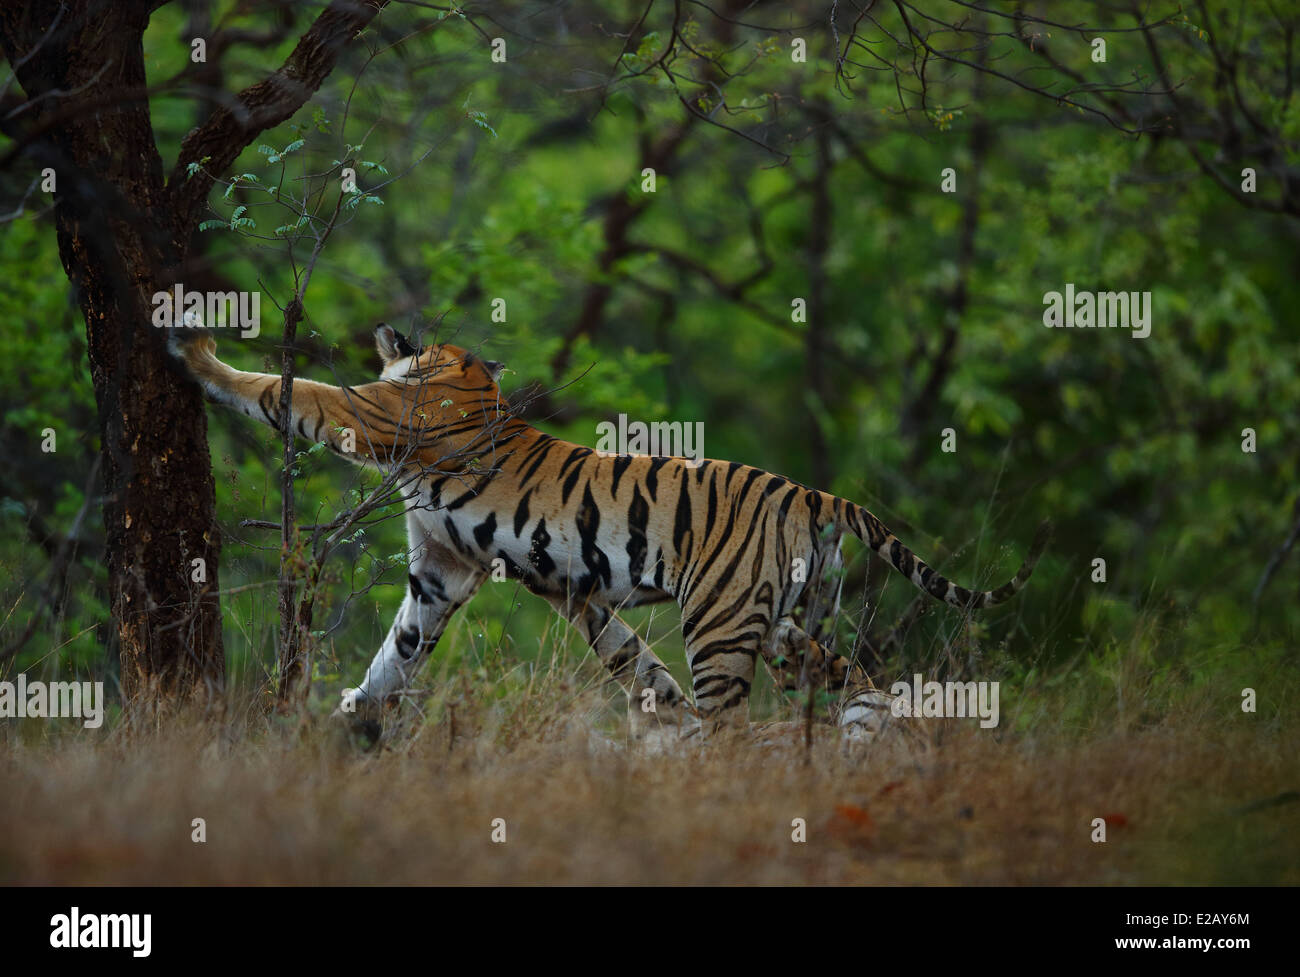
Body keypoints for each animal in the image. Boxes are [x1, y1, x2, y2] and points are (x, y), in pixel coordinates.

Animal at [172, 324, 1050, 743]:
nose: (393, 330)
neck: (465, 379)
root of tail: (813, 489)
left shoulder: (370, 414)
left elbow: (284, 389)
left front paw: (195, 347)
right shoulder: (442, 569)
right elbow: (400, 649)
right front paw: (353, 715)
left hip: (721, 624)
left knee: (730, 724)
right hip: (791, 620)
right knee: (853, 673)